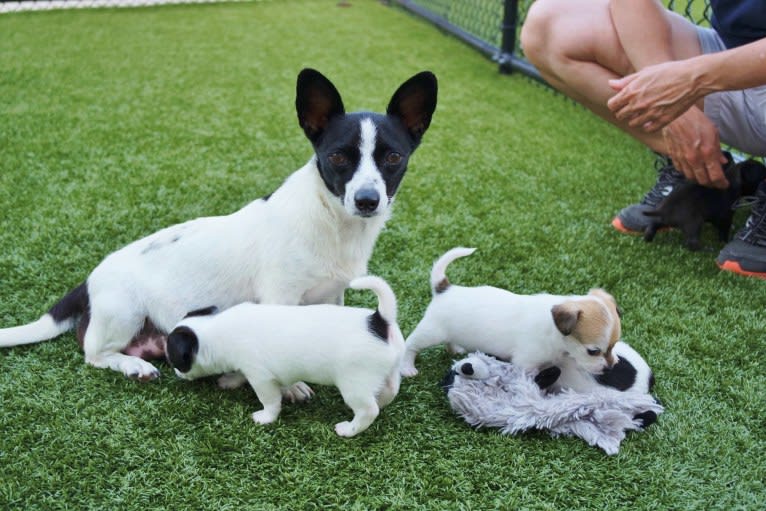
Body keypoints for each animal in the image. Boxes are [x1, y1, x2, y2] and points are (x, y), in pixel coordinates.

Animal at [1, 68, 438, 384]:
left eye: (394, 157)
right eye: (338, 157)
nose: (367, 200)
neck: (333, 223)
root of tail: (89, 282)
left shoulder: (333, 295)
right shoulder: (279, 297)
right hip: (124, 312)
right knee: (94, 354)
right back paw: (132, 366)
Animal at [168, 278, 408, 438]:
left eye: (176, 360)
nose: (176, 373)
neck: (214, 328)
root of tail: (379, 321)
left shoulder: (261, 378)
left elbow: (271, 401)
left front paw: (265, 417)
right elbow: (239, 374)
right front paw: (230, 380)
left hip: (353, 385)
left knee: (368, 410)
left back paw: (349, 429)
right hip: (389, 371)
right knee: (389, 391)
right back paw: (381, 400)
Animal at [402, 248, 624, 380]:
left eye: (613, 346)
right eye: (593, 351)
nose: (611, 368)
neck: (553, 332)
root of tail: (445, 288)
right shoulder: (526, 363)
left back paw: (455, 349)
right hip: (431, 332)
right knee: (411, 344)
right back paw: (407, 367)